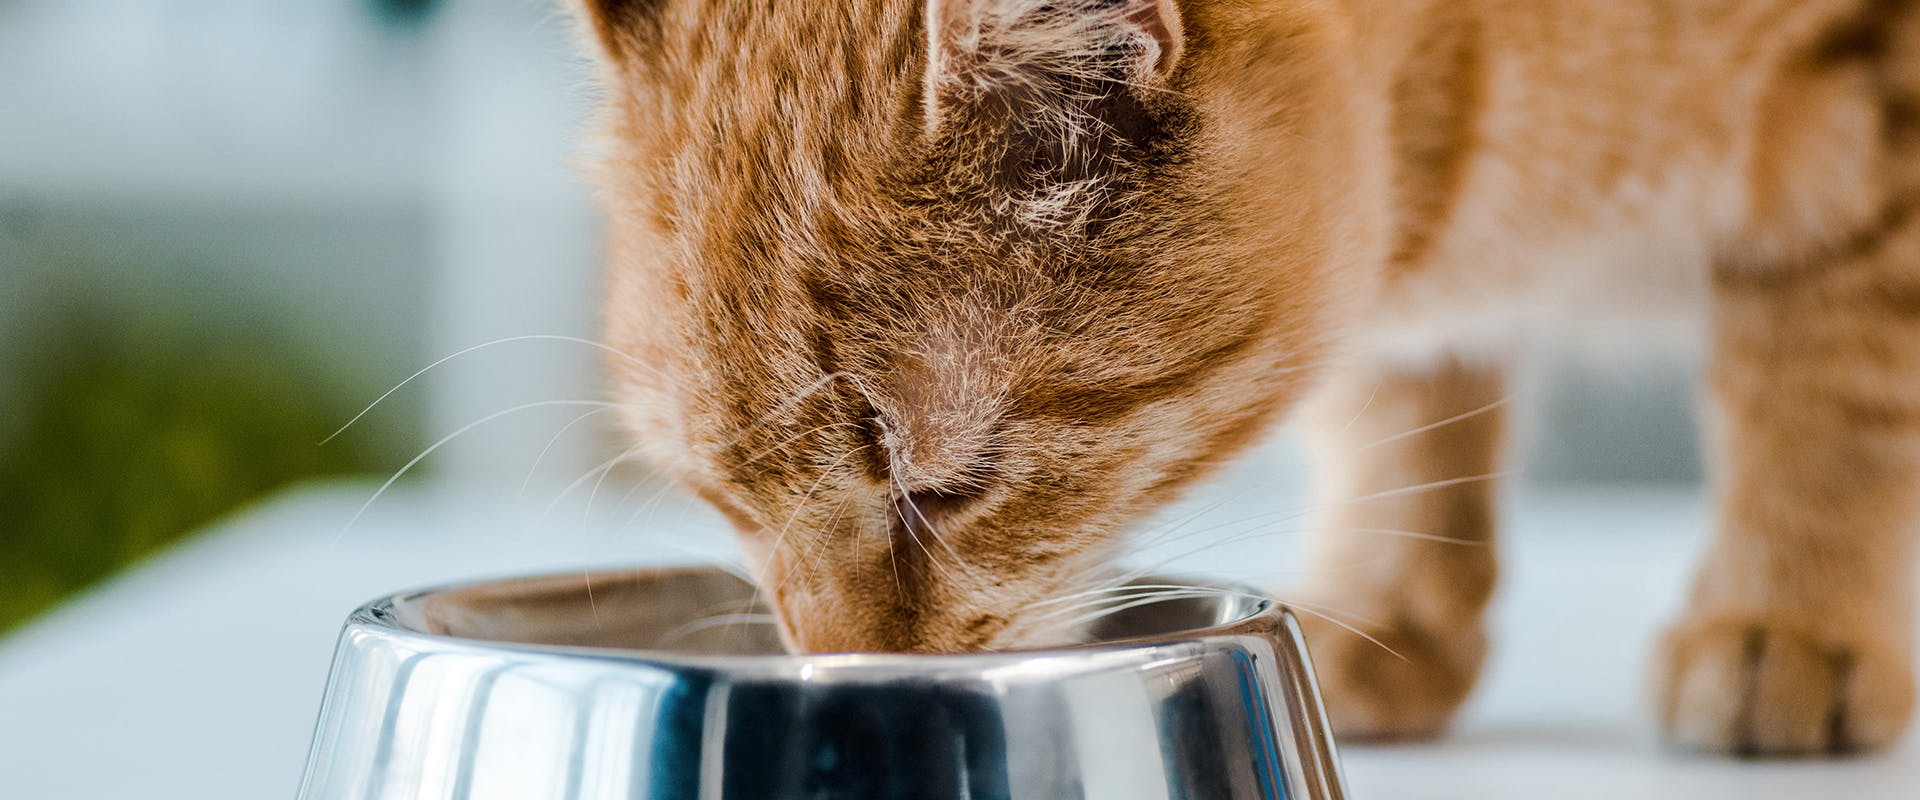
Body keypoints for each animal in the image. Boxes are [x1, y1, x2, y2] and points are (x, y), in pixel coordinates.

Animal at [579, 0, 1920, 755]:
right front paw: (1389, 599)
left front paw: (1789, 610)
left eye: (945, 490)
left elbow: (1828, 381)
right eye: (724, 500)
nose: (854, 676)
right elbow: (1404, 399)